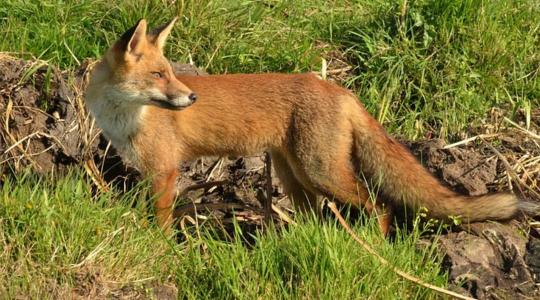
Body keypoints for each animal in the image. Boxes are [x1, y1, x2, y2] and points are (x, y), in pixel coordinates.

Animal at [85, 18, 536, 236]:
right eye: (159, 74)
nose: (191, 98)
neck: (124, 117)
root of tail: (337, 87)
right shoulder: (152, 171)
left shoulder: (164, 170)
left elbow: (160, 222)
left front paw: (160, 247)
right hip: (295, 176)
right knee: (317, 218)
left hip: (321, 172)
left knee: (381, 205)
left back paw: (374, 245)